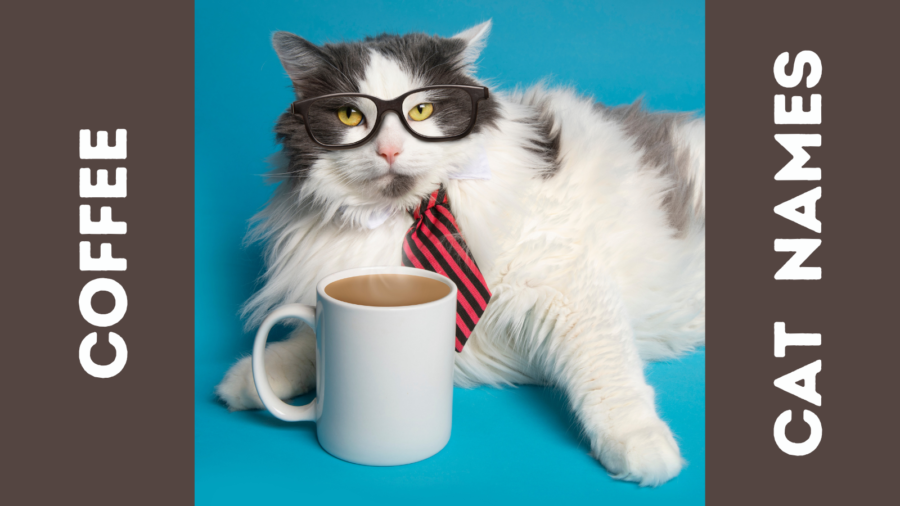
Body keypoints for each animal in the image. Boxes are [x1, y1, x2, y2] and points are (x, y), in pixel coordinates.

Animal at [216, 21, 704, 488]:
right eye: (350, 115)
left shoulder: (567, 283)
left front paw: (643, 446)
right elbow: (306, 345)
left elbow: (608, 373)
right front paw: (252, 380)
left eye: (422, 111)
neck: (409, 216)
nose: (389, 150)